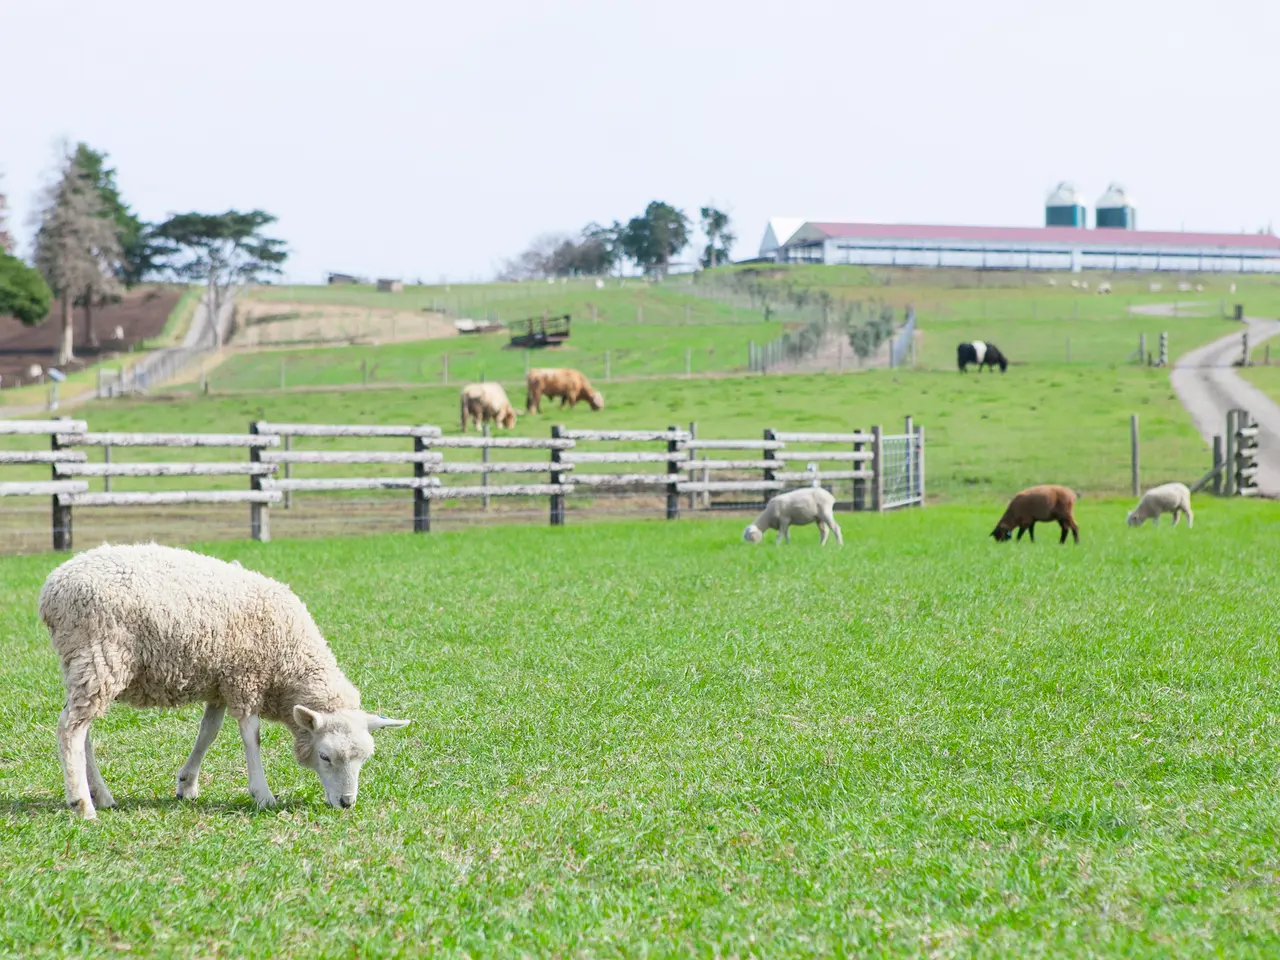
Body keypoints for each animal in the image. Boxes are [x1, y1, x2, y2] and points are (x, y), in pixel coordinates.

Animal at [40, 545, 409, 824]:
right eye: (325, 756)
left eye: (364, 758)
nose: (347, 803)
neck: (288, 659)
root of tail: (53, 587)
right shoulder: (245, 678)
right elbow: (252, 736)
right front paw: (262, 794)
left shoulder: (221, 681)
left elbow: (209, 732)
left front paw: (187, 785)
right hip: (101, 656)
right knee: (70, 728)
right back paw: (81, 804)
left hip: (83, 662)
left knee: (81, 729)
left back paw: (101, 795)